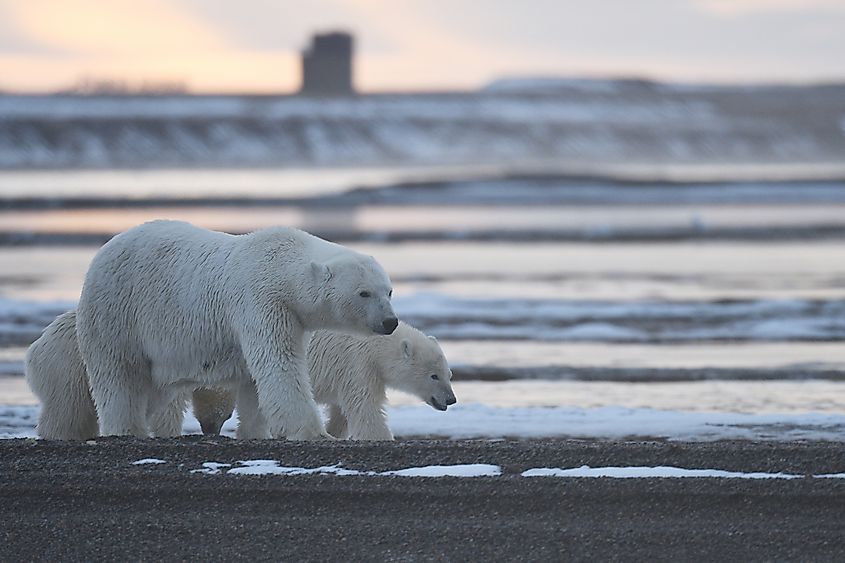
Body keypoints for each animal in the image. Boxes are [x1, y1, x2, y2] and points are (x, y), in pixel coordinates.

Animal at [73, 220, 397, 440]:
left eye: (389, 291)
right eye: (364, 293)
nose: (390, 322)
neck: (281, 265)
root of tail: (105, 249)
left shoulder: (290, 315)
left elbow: (255, 380)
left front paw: (256, 430)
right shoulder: (261, 301)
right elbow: (279, 364)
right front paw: (311, 432)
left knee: (153, 389)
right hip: (119, 312)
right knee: (119, 374)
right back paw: (128, 428)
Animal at [192, 321, 457, 440]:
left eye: (449, 374)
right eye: (433, 375)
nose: (451, 399)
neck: (377, 346)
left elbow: (343, 411)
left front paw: (333, 433)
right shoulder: (357, 363)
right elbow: (365, 406)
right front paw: (382, 437)